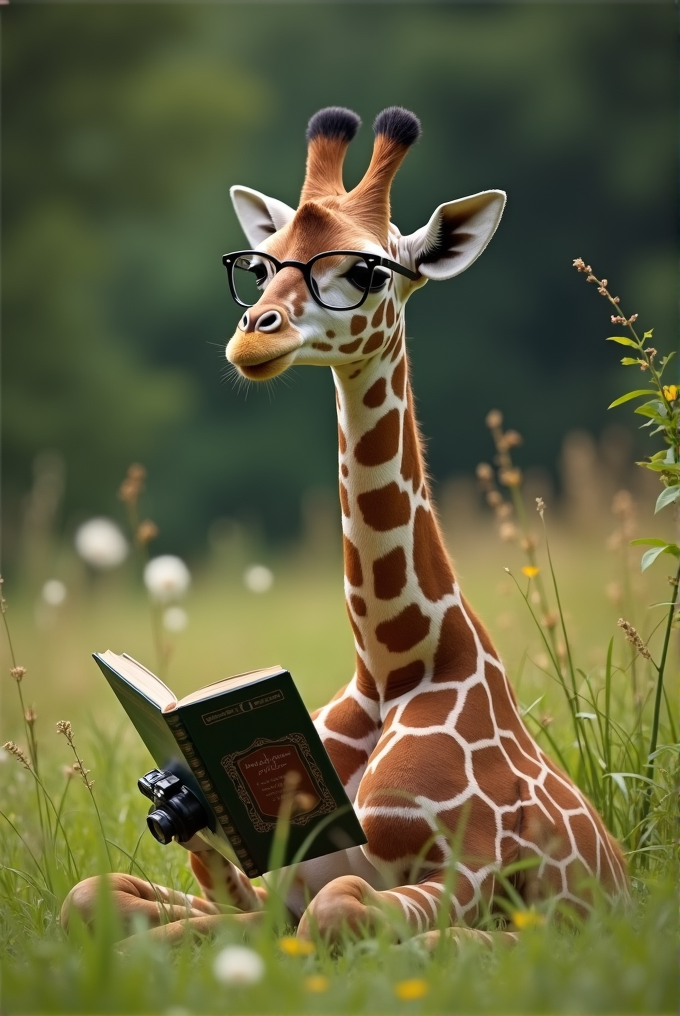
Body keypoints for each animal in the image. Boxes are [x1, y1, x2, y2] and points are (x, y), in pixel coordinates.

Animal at [59, 107, 626, 946]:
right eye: (260, 267)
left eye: (367, 272)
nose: (252, 336)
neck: (395, 665)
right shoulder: (282, 882)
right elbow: (98, 895)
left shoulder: (467, 870)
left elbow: (347, 914)